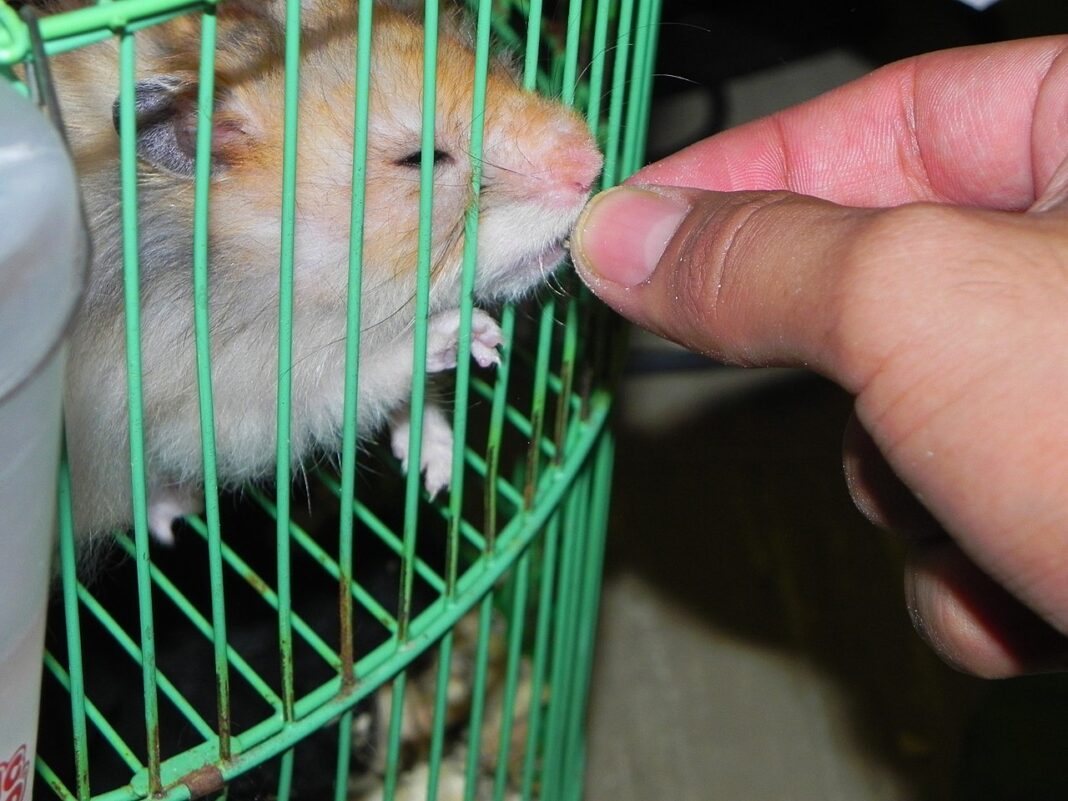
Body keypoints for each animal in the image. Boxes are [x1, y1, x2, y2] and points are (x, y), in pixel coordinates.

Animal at [45, 0, 603, 543]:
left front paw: (436, 475)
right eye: (419, 158)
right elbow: (353, 378)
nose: (594, 164)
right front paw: (472, 336)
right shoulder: (214, 400)